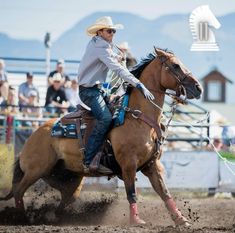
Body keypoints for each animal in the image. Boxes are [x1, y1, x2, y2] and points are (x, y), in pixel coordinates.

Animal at [0, 48, 202, 226]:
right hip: (36, 170)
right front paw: (136, 220)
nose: (198, 88)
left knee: (64, 200)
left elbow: (165, 193)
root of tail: (34, 136)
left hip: (68, 179)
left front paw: (181, 220)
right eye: (175, 65)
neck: (138, 117)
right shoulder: (128, 164)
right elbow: (132, 193)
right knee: (19, 191)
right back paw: (22, 218)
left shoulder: (152, 165)